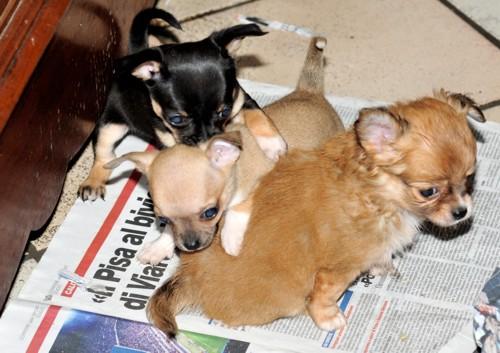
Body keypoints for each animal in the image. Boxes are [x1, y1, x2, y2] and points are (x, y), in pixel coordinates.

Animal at [81, 8, 286, 199]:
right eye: (176, 119)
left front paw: (273, 144)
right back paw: (92, 182)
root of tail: (137, 52)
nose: (206, 140)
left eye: (224, 112)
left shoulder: (241, 99)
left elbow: (259, 116)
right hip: (110, 124)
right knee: (104, 155)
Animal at [106, 36, 344, 262]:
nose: (190, 245)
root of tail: (310, 91)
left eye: (210, 213)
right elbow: (170, 232)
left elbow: (239, 207)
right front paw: (160, 245)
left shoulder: (260, 183)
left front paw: (231, 237)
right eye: (162, 219)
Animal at [147, 88, 484, 336]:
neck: (378, 195)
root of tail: (188, 275)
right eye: (428, 192)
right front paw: (329, 320)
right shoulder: (337, 270)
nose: (462, 212)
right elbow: (323, 297)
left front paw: (383, 266)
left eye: (469, 178)